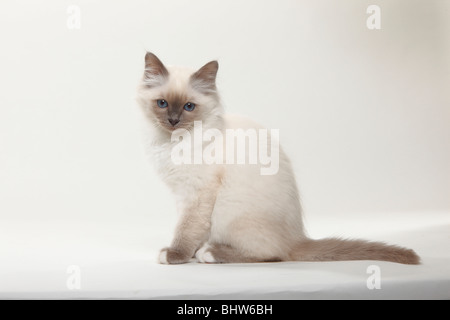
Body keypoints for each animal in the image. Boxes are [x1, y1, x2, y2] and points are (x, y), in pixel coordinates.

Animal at [135, 52, 420, 264]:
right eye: (162, 104)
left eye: (188, 107)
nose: (173, 121)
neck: (172, 143)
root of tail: (297, 238)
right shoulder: (181, 194)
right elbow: (190, 229)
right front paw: (187, 253)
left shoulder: (197, 193)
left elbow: (186, 229)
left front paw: (175, 255)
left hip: (230, 211)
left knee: (273, 255)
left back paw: (211, 253)